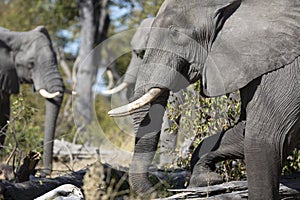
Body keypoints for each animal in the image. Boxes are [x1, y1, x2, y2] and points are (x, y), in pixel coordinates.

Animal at [109, 0, 300, 198]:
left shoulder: (285, 69)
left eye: (175, 32)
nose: (161, 191)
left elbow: (266, 137)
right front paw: (207, 179)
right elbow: (245, 129)